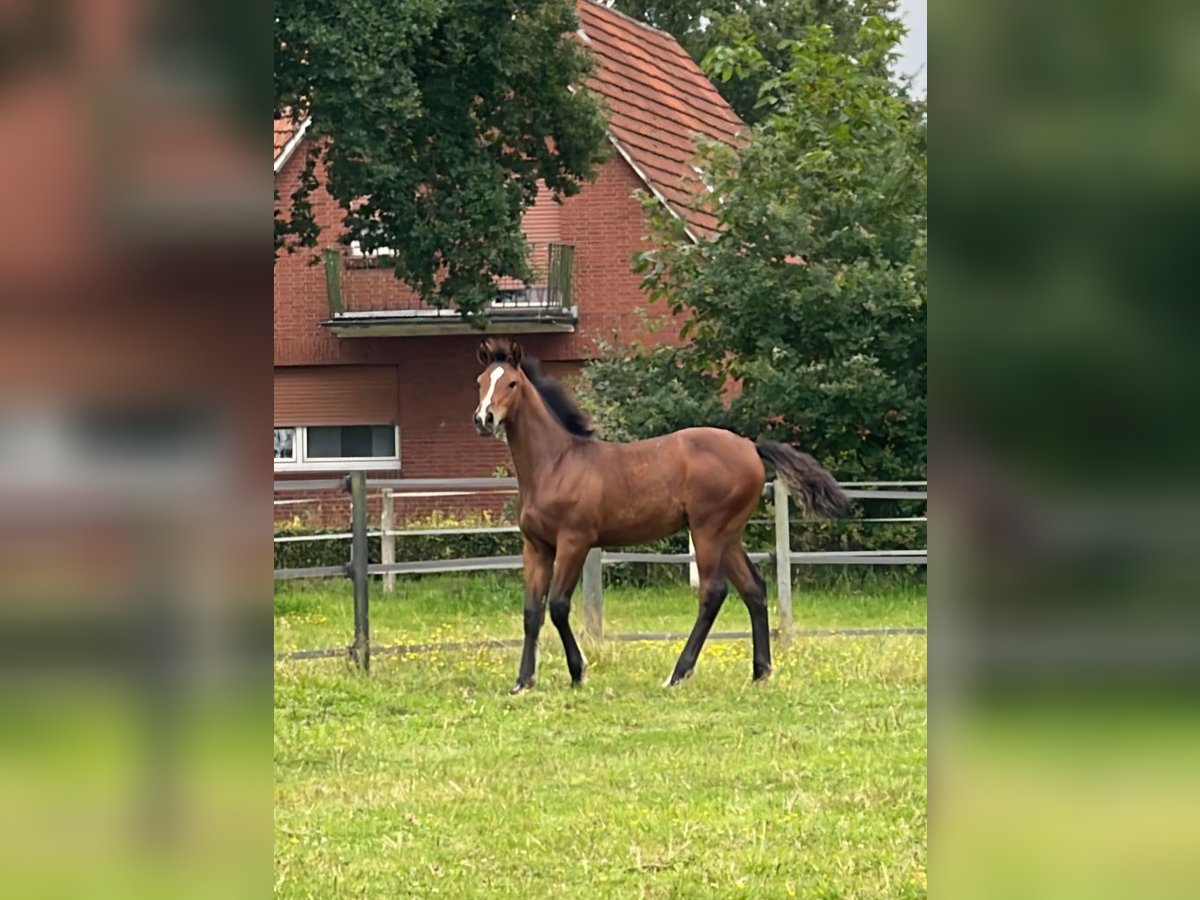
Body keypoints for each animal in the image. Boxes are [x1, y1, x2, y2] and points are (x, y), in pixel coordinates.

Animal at [472, 336, 849, 696]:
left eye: (511, 384)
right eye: (480, 381)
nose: (483, 419)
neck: (557, 463)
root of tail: (751, 446)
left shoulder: (574, 542)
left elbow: (559, 606)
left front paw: (578, 673)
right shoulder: (536, 546)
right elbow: (531, 612)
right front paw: (522, 682)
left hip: (708, 531)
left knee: (713, 592)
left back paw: (678, 674)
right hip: (729, 535)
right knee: (754, 590)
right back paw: (760, 672)